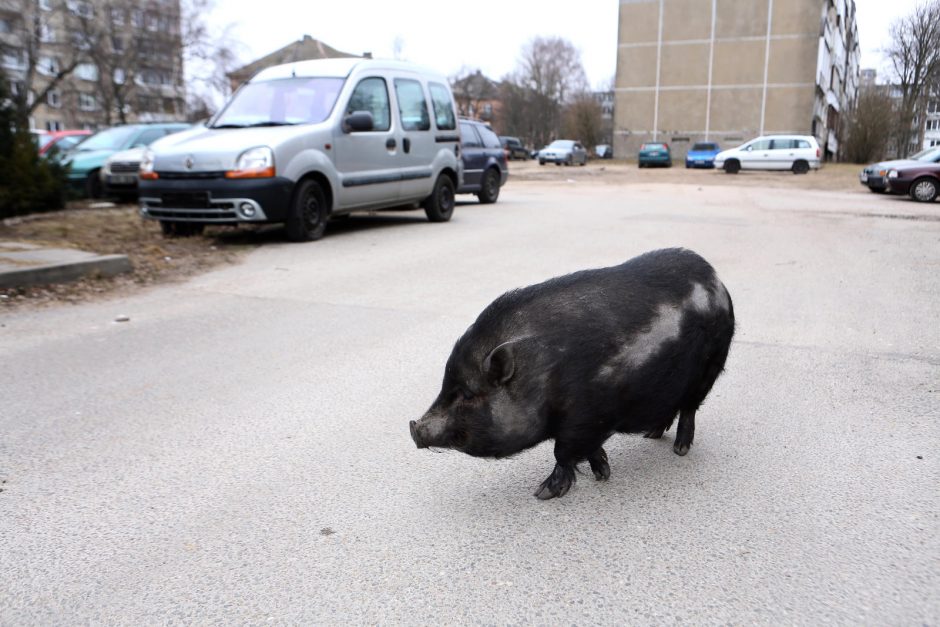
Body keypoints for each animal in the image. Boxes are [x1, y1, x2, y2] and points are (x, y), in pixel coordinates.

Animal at [410, 250, 736, 500]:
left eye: (467, 394)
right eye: (445, 385)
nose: (414, 427)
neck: (540, 374)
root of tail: (717, 280)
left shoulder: (584, 418)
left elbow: (563, 452)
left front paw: (542, 494)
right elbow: (588, 450)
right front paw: (602, 474)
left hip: (710, 368)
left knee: (689, 409)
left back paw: (680, 450)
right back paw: (651, 435)